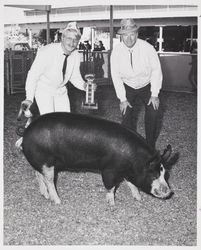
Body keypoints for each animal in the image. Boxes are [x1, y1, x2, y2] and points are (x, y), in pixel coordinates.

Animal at [21, 112, 174, 206]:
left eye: (165, 174)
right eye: (153, 175)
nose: (169, 192)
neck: (134, 162)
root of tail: (26, 130)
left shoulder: (126, 171)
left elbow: (132, 184)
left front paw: (138, 198)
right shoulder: (109, 170)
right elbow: (111, 186)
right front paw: (112, 204)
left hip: (41, 162)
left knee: (38, 175)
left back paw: (45, 195)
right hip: (46, 162)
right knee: (49, 180)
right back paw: (58, 201)